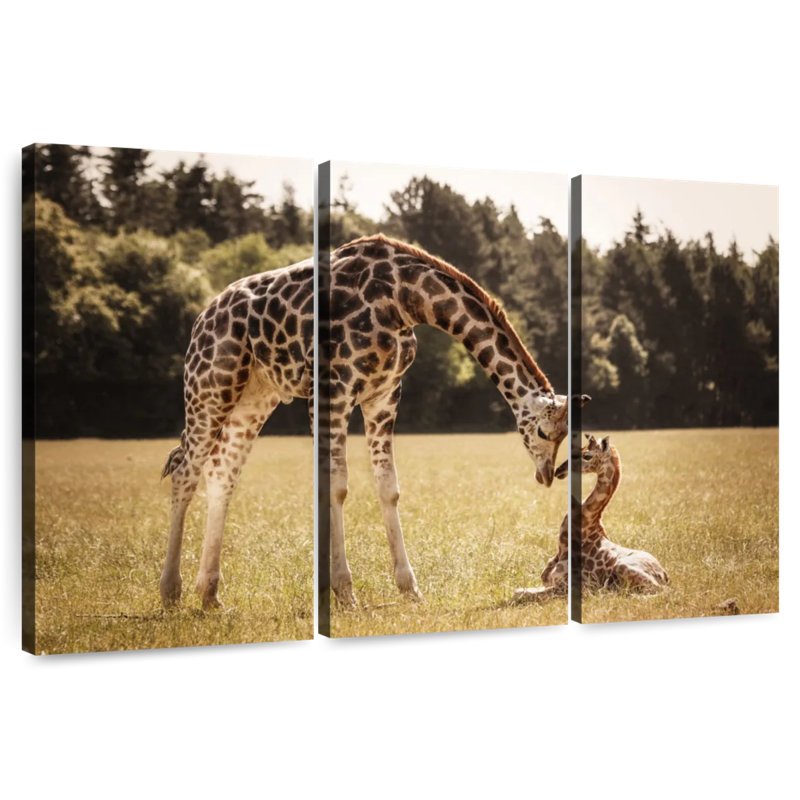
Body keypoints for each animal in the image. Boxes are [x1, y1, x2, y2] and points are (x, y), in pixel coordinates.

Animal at [159, 256, 314, 610]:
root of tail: (201, 317)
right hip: (211, 390)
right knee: (187, 471)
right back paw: (171, 590)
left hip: (253, 396)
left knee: (219, 471)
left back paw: (209, 594)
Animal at [328, 233, 583, 607]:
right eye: (543, 431)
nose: (547, 475)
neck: (406, 294)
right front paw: (344, 590)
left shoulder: (382, 393)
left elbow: (385, 486)